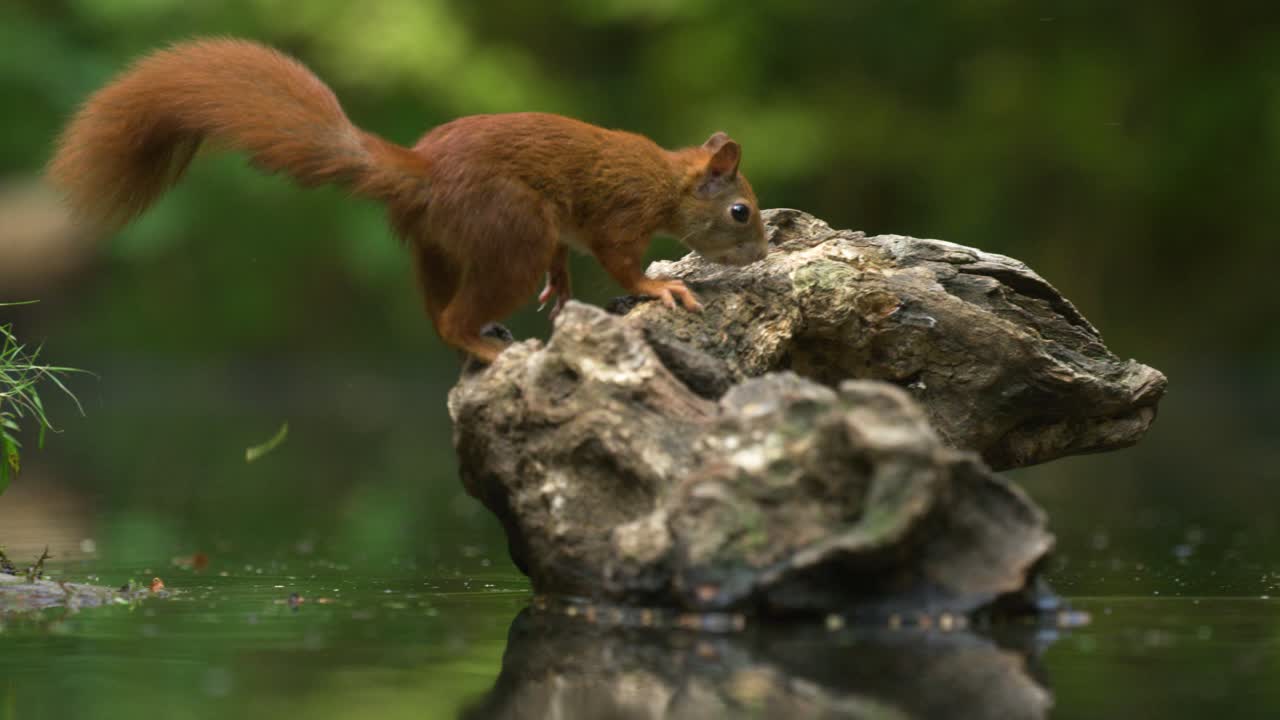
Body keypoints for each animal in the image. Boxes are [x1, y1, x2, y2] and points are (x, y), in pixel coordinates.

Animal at [47, 38, 769, 364]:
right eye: (741, 212)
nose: (762, 253)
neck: (667, 181)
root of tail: (424, 173)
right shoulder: (620, 215)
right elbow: (621, 264)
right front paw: (658, 288)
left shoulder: (572, 229)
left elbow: (569, 257)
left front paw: (562, 288)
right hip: (510, 231)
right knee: (453, 317)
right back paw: (489, 348)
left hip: (440, 248)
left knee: (436, 313)